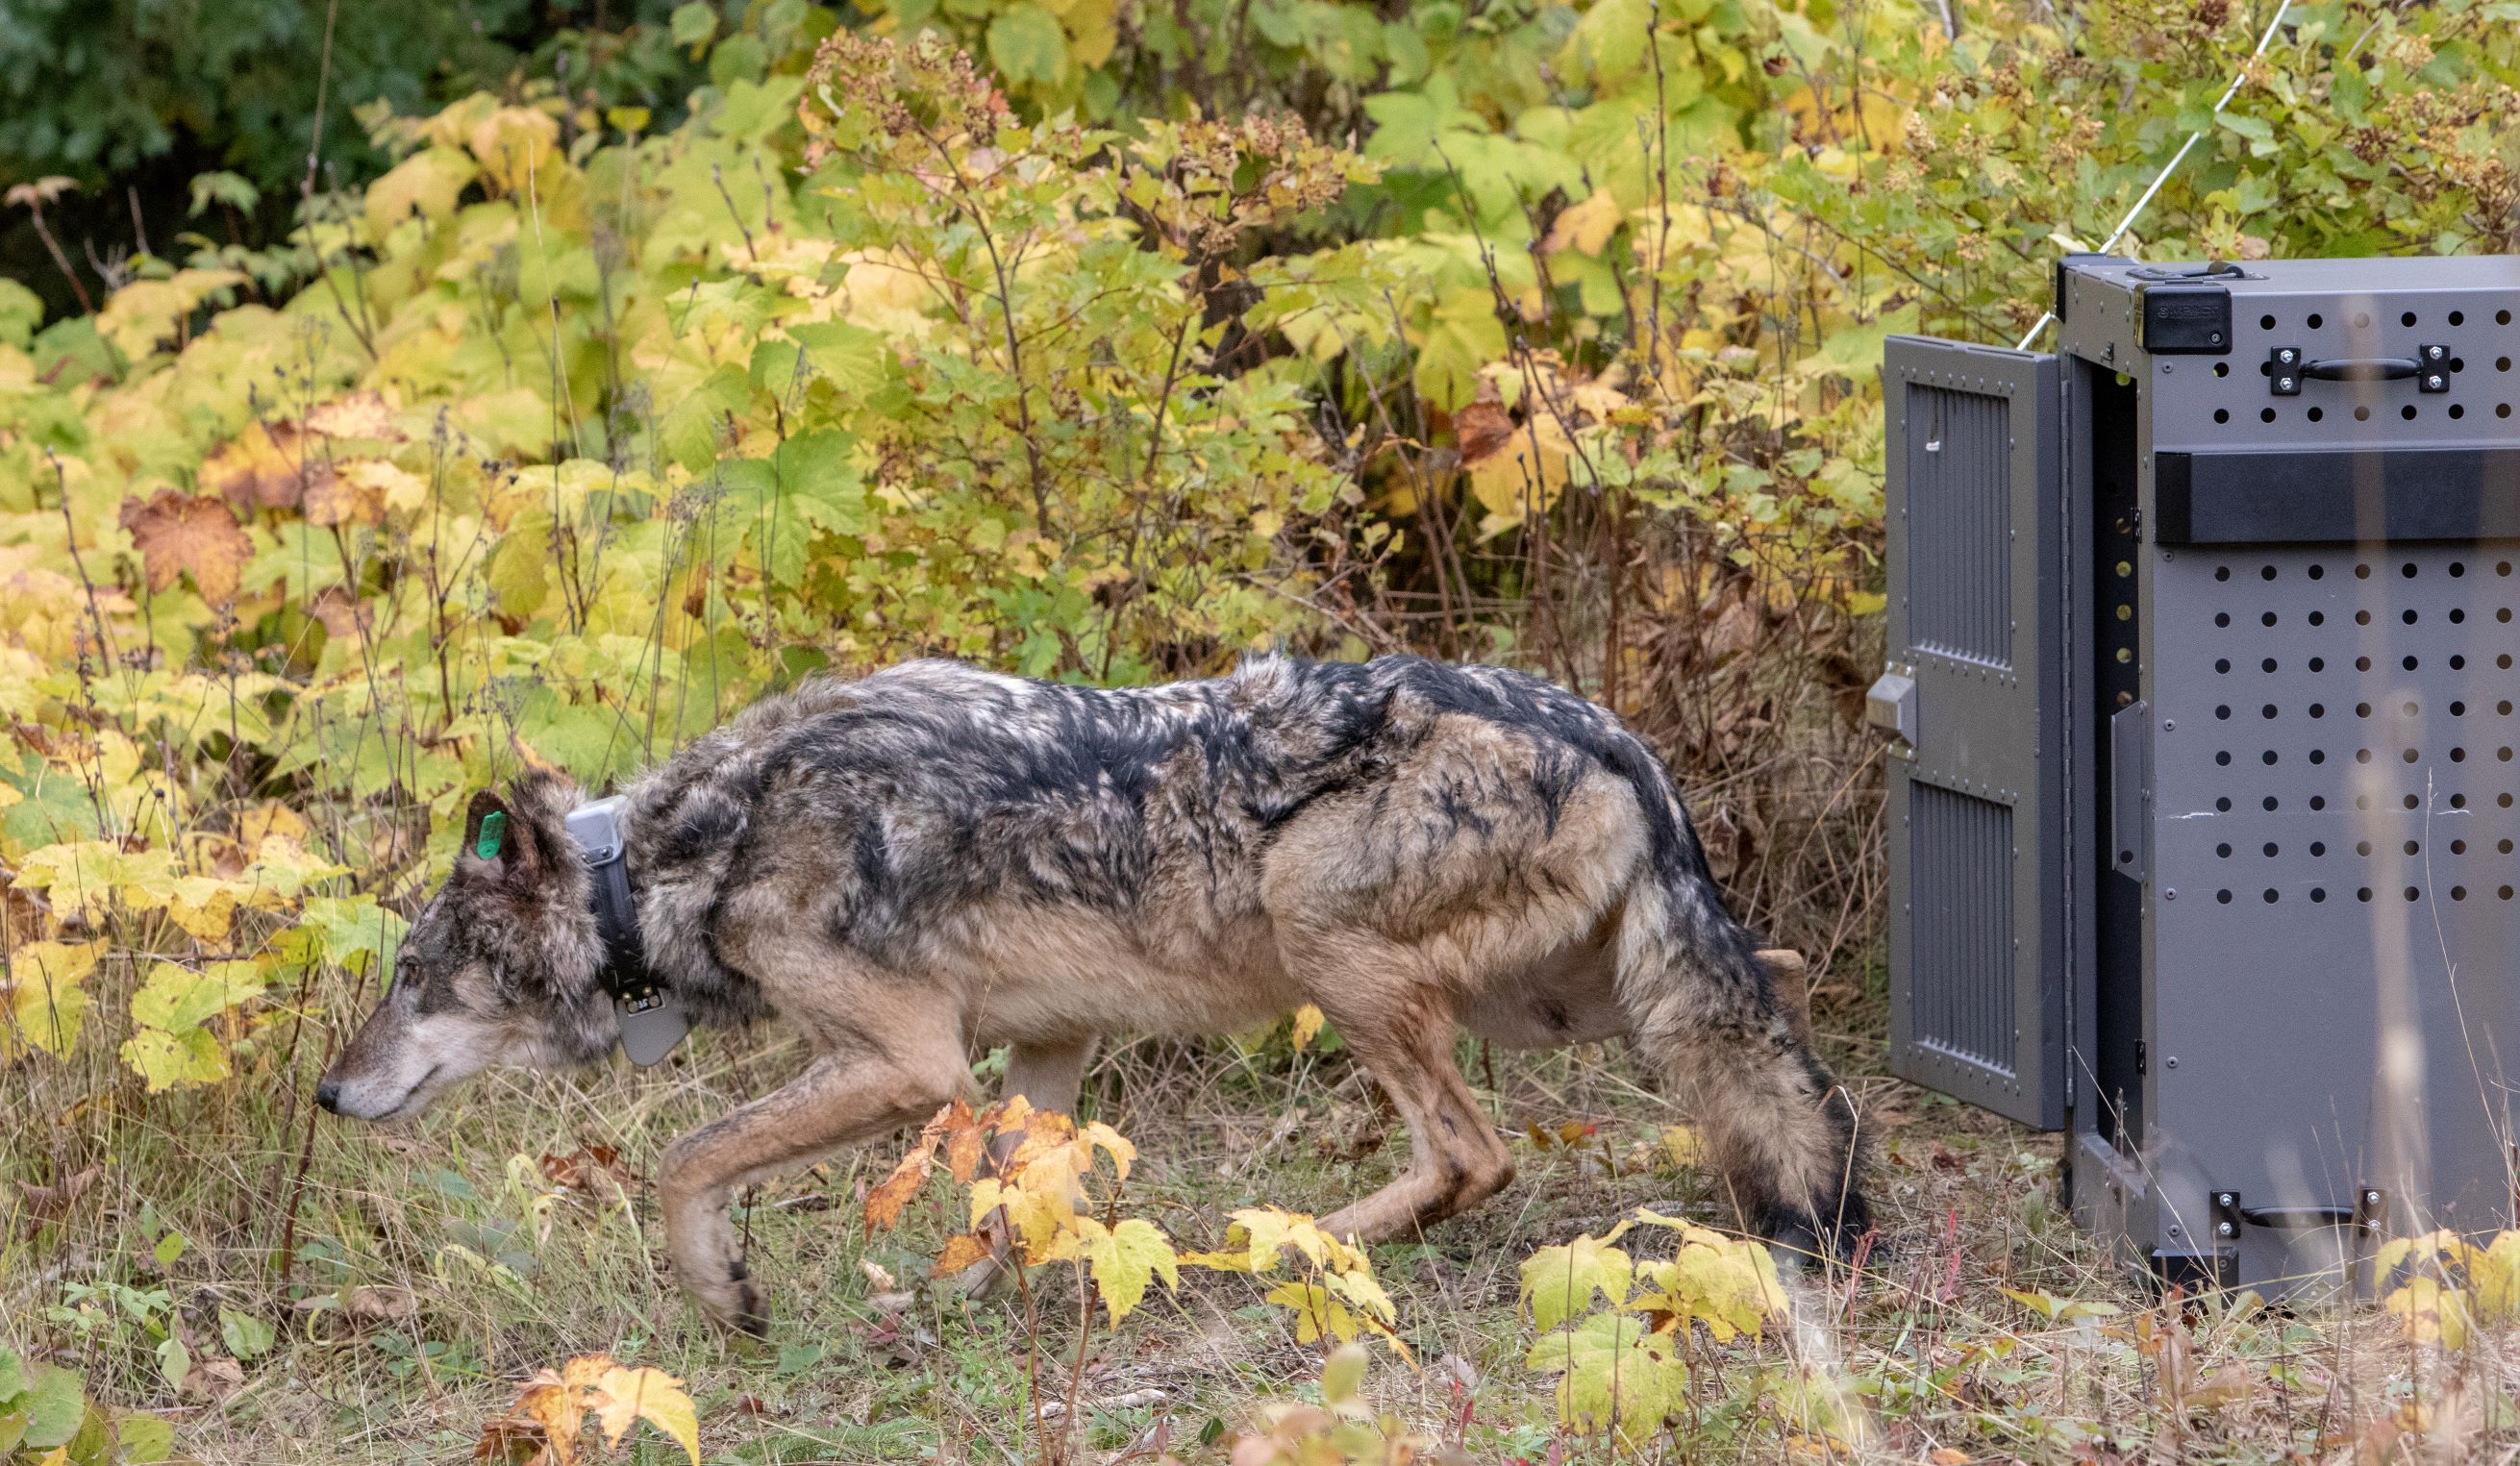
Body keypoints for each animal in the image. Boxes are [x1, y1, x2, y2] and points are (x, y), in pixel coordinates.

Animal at [314, 659, 1864, 1339]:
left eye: (412, 978)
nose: (328, 1094)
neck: (679, 858)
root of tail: (1615, 737)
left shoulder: (913, 1061)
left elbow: (683, 1161)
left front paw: (726, 1291)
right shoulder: (1042, 1046)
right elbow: (1014, 1193)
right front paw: (966, 1292)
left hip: (1338, 951)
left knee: (1469, 1154)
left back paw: (1284, 1246)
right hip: (1576, 1000)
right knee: (1770, 1017)